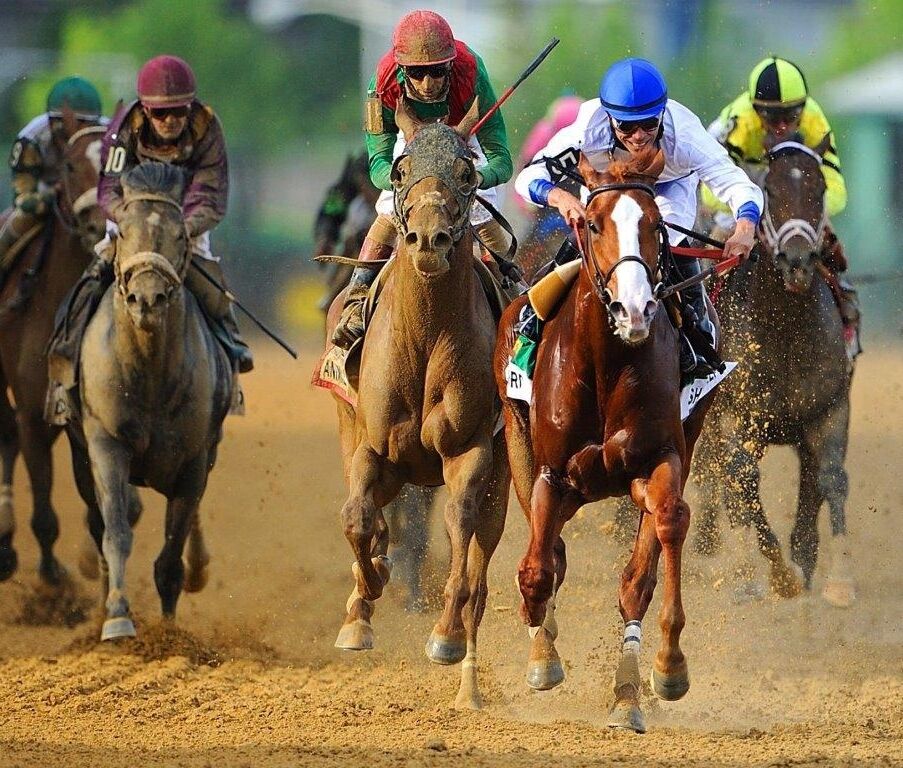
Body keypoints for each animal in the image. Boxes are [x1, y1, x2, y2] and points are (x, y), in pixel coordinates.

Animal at [71, 159, 233, 640]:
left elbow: (170, 558)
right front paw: (117, 617)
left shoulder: (193, 460)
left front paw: (170, 635)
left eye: (180, 235)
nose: (147, 298)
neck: (149, 375)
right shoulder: (106, 443)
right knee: (101, 521)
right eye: (123, 231)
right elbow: (117, 531)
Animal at [326, 105, 512, 712]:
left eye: (468, 172)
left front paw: (444, 634)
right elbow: (357, 518)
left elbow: (460, 526)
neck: (427, 335)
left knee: (480, 565)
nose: (428, 239)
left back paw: (472, 684)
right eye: (401, 169)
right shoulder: (371, 446)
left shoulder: (471, 450)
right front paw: (361, 611)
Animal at [498, 148, 716, 732]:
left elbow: (659, 541)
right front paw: (542, 655)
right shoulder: (551, 473)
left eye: (656, 224)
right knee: (548, 552)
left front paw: (663, 671)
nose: (634, 310)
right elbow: (536, 571)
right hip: (520, 452)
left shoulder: (659, 458)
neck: (604, 364)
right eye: (592, 224)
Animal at [692, 138, 856, 608]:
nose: (798, 261)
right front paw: (777, 575)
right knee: (723, 480)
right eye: (770, 190)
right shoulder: (740, 418)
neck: (784, 330)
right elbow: (743, 482)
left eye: (820, 187)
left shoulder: (829, 409)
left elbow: (831, 478)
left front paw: (837, 578)